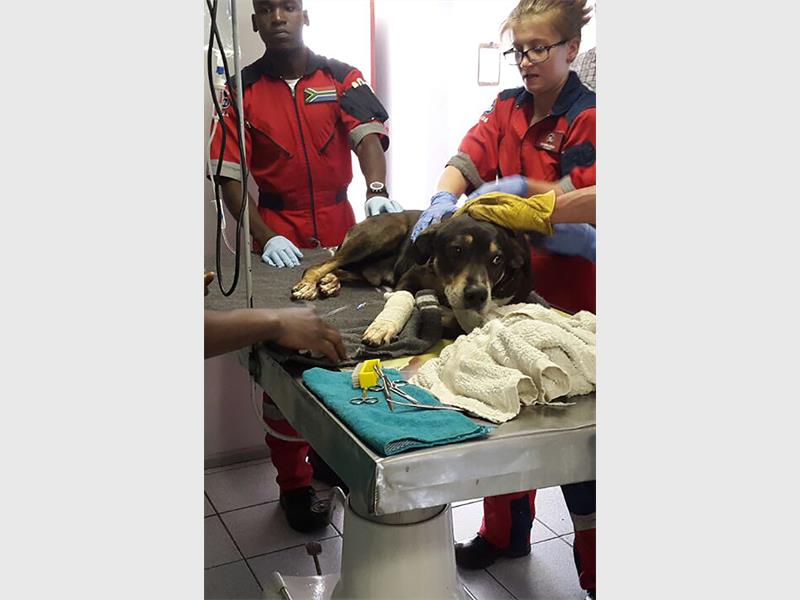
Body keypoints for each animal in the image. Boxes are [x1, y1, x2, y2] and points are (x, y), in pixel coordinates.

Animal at [291, 210, 533, 346]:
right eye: (456, 250)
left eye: (497, 259)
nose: (477, 295)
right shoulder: (409, 277)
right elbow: (407, 298)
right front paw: (383, 327)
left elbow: (458, 320)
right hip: (383, 233)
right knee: (319, 266)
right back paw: (309, 285)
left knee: (344, 270)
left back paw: (330, 282)